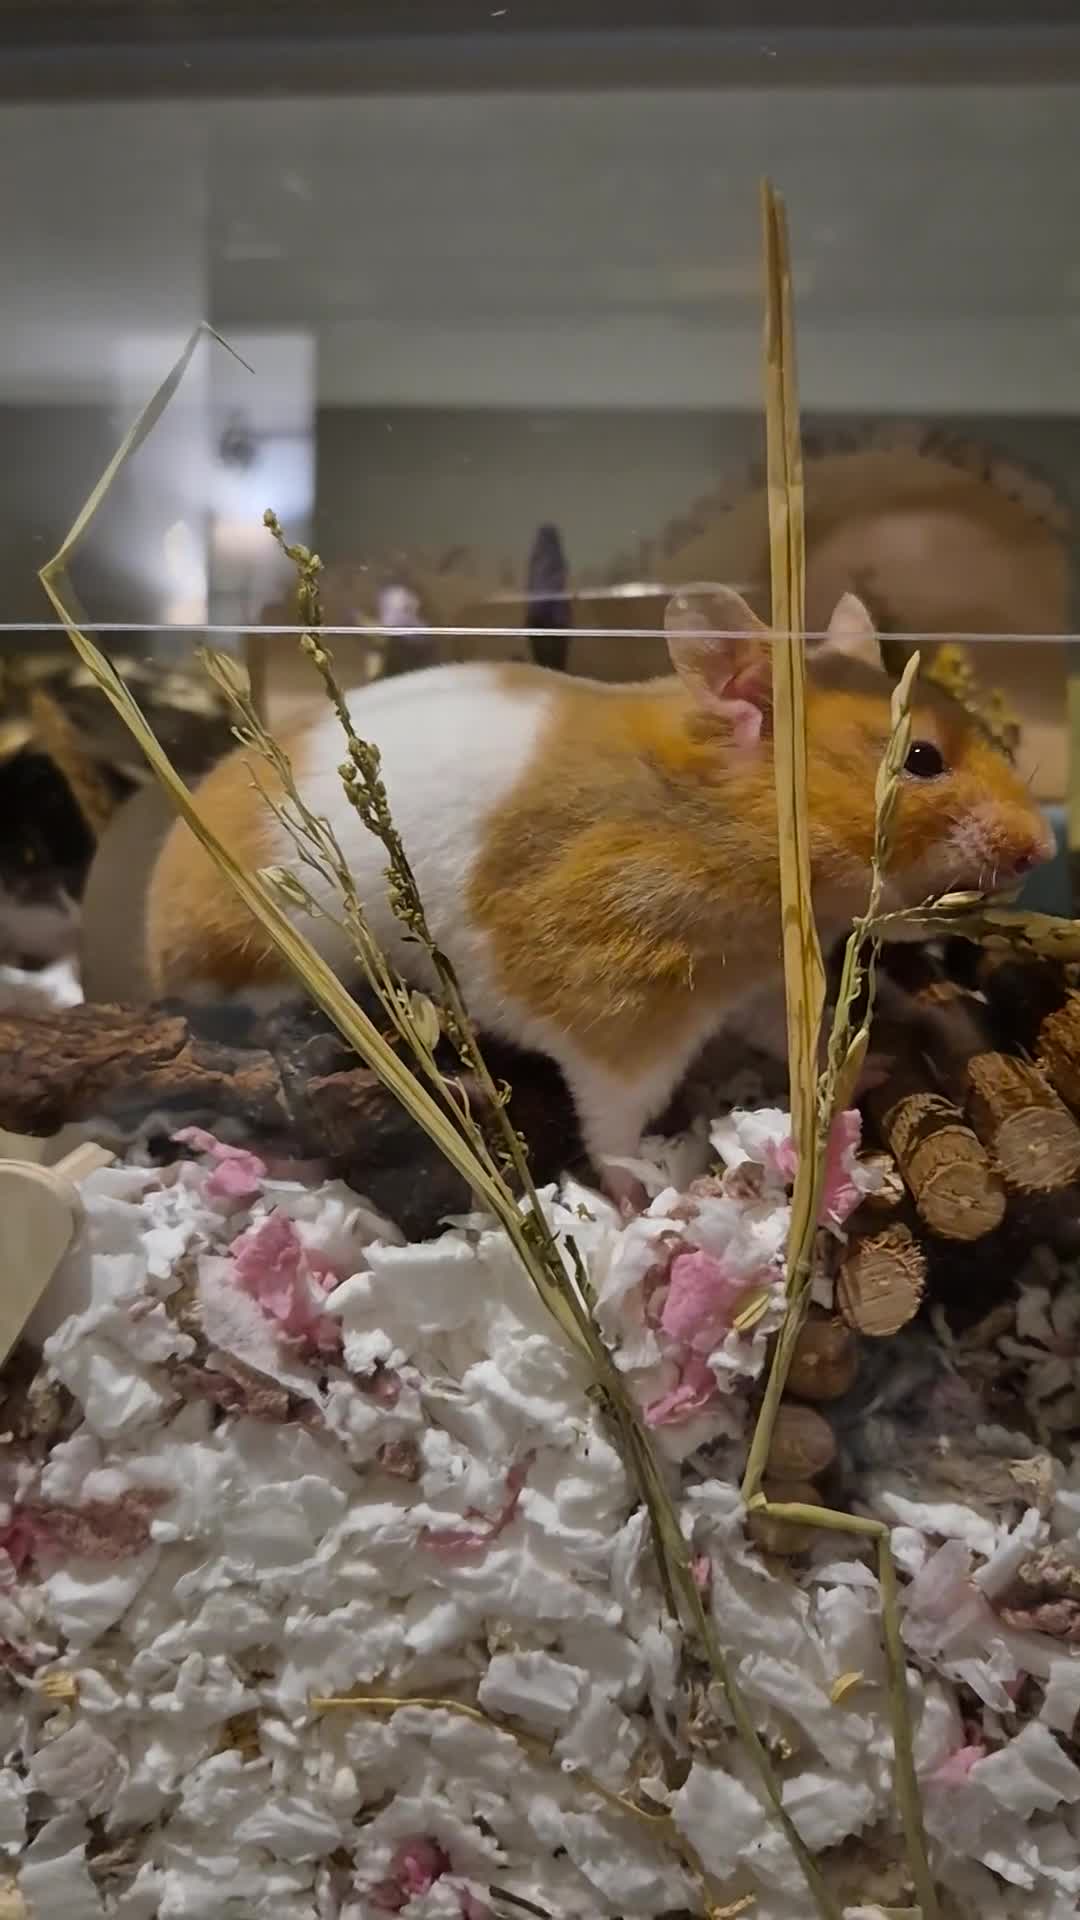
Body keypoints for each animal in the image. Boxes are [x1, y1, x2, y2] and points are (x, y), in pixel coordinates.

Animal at [145, 589, 1054, 1203]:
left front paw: (871, 1073)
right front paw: (646, 1199)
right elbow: (615, 1125)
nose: (1042, 848)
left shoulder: (757, 987)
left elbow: (798, 1039)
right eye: (923, 759)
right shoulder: (618, 1020)